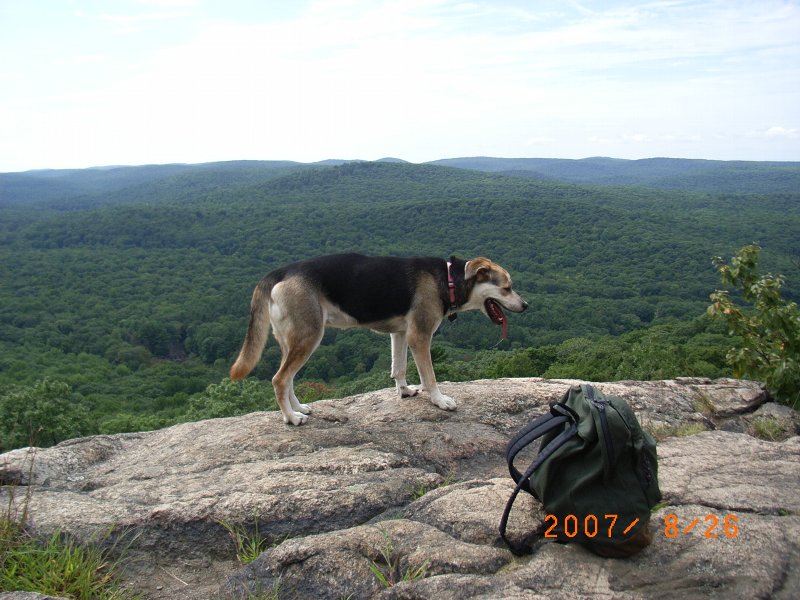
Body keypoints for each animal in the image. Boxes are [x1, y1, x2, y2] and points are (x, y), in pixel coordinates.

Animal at [230, 253, 532, 426]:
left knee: (287, 378)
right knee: (279, 379)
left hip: (291, 340)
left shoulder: (400, 334)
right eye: (507, 288)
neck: (448, 279)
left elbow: (399, 368)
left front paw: (404, 391)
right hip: (309, 336)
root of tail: (278, 272)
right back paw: (291, 418)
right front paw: (439, 401)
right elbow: (430, 376)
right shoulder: (419, 336)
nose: (526, 305)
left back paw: (298, 407)